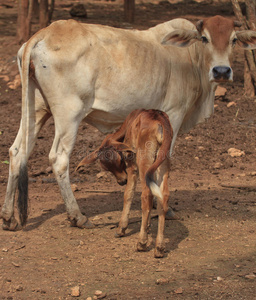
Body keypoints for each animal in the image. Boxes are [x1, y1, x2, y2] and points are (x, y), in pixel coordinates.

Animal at [0, 14, 256, 232]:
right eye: (205, 38)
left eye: (233, 39)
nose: (222, 71)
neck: (190, 60)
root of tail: (44, 33)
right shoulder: (173, 114)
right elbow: (163, 159)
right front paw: (164, 207)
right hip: (68, 113)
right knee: (58, 158)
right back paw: (78, 216)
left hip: (36, 109)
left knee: (17, 151)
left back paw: (8, 217)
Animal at [77, 109, 174, 256]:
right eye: (107, 168)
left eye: (120, 160)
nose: (122, 181)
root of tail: (160, 120)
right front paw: (148, 226)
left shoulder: (131, 166)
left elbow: (128, 194)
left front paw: (121, 228)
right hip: (163, 161)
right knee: (164, 196)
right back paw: (159, 247)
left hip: (144, 160)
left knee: (147, 194)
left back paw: (142, 243)